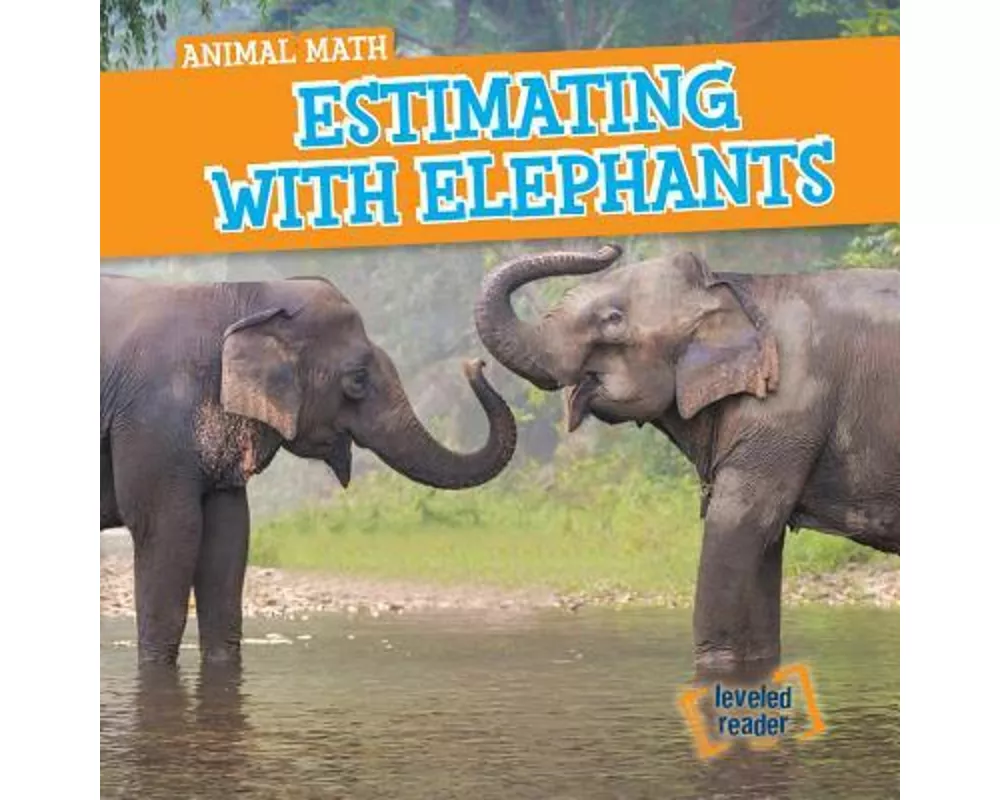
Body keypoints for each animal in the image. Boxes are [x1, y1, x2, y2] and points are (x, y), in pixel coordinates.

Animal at [101, 273, 517, 666]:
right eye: (358, 379)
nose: (476, 363)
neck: (245, 296)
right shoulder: (154, 421)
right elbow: (169, 528)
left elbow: (229, 533)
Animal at [474, 243, 899, 673]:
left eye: (613, 319)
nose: (611, 247)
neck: (735, 289)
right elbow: (764, 544)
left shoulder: (784, 409)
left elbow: (738, 524)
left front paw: (716, 671)